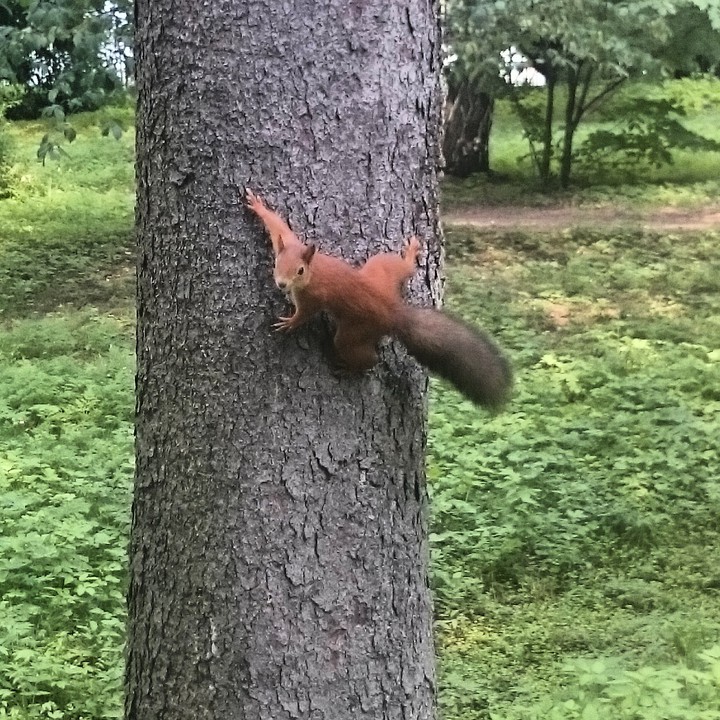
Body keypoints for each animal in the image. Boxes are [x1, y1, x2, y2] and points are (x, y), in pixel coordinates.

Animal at [244, 189, 512, 409]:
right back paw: (410, 254)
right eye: (277, 263)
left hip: (354, 332)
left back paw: (351, 368)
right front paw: (259, 207)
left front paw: (290, 323)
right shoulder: (292, 243)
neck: (314, 269)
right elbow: (280, 228)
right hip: (380, 270)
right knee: (403, 268)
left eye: (299, 271)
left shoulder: (313, 297)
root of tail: (393, 311)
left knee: (367, 357)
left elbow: (305, 314)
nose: (281, 284)